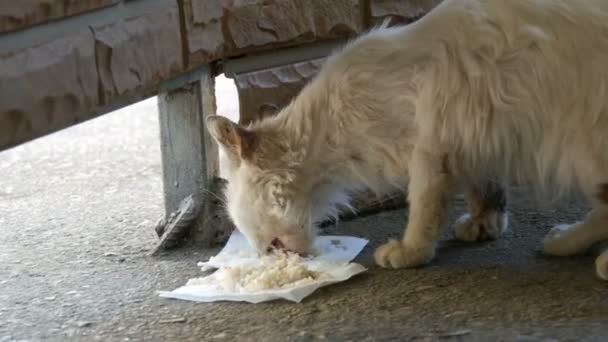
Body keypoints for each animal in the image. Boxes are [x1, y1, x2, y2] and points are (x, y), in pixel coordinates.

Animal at [207, 0, 608, 280]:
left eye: (247, 225)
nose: (262, 255)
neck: (330, 126)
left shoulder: (432, 148)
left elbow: (423, 209)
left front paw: (410, 251)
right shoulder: (476, 139)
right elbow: (486, 190)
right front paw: (484, 225)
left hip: (578, 147)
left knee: (604, 208)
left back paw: (584, 252)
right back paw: (566, 242)